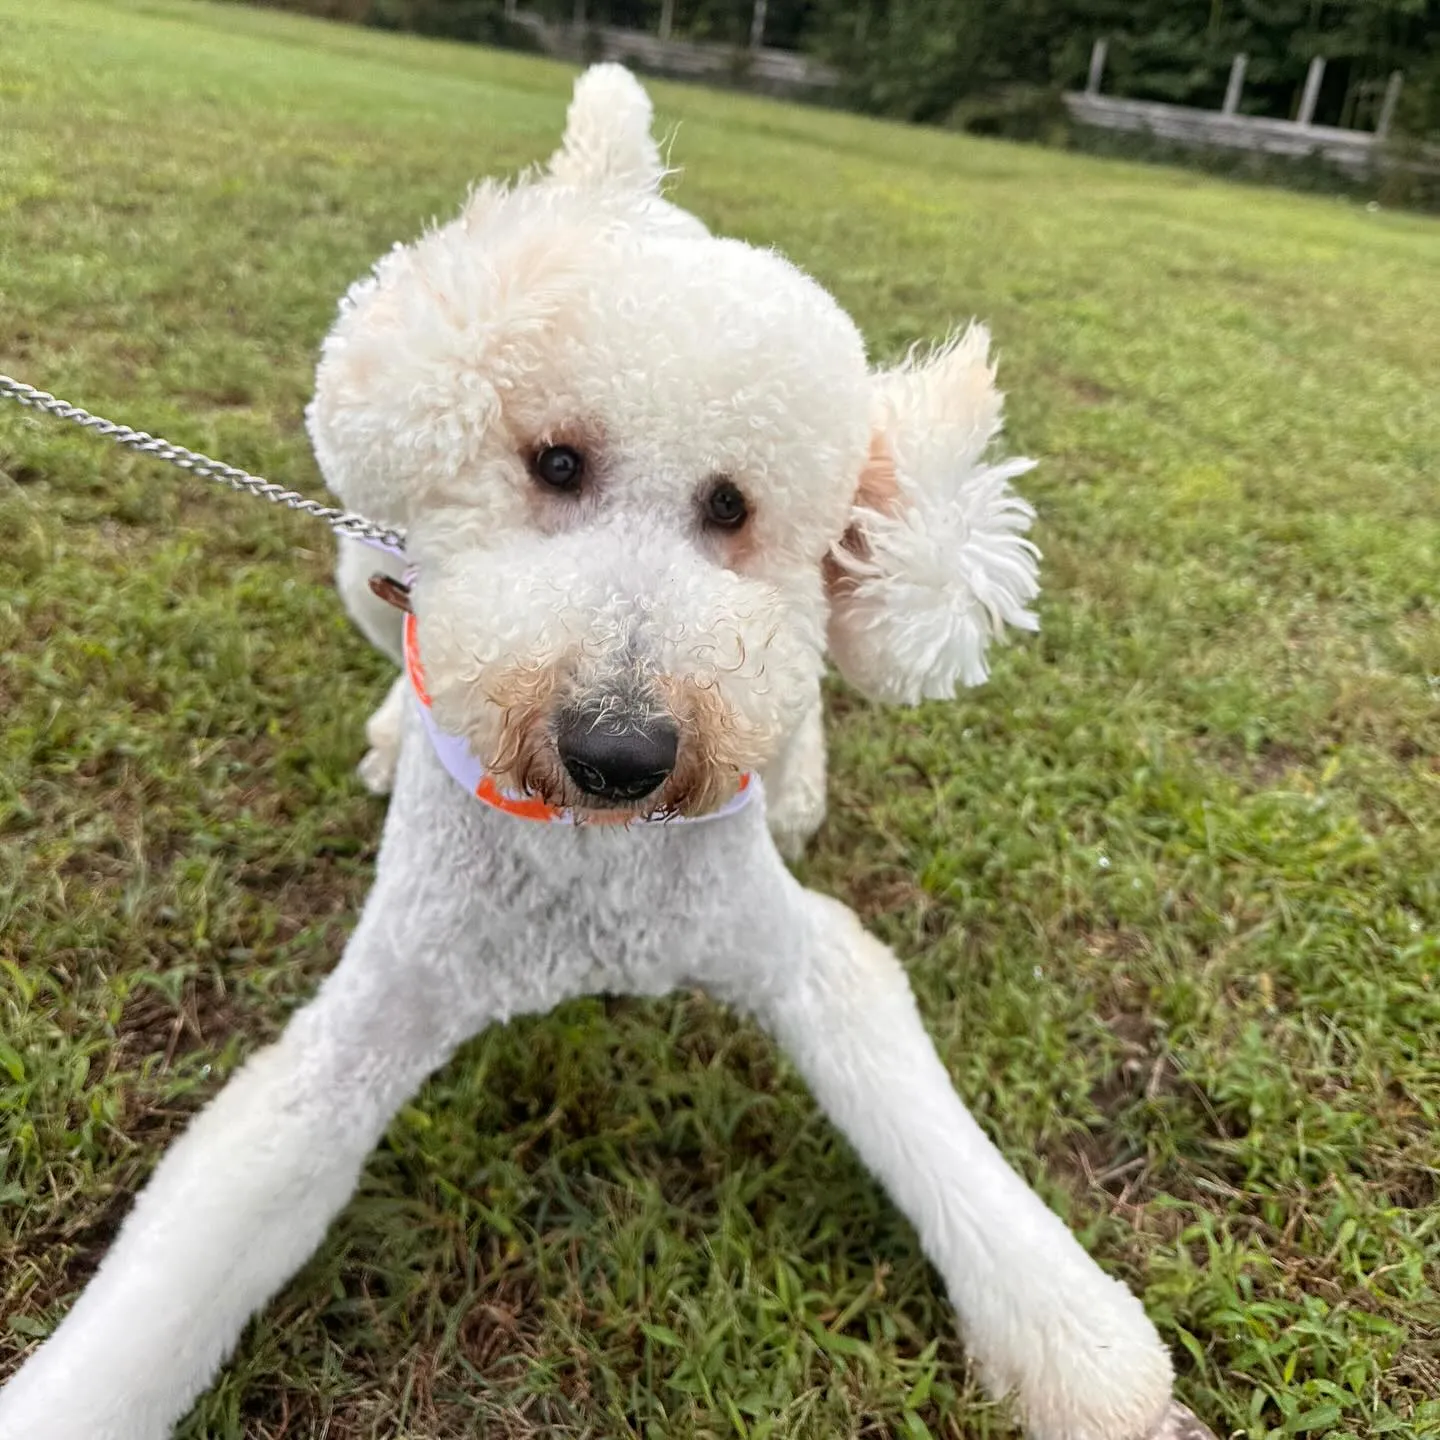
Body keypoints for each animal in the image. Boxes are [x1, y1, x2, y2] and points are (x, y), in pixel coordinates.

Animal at [0, 64, 1215, 1440]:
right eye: (557, 462)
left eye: (733, 508)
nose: (619, 752)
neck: (588, 856)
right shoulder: (355, 1039)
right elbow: (199, 1240)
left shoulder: (792, 947)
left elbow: (915, 1108)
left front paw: (1079, 1346)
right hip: (366, 558)